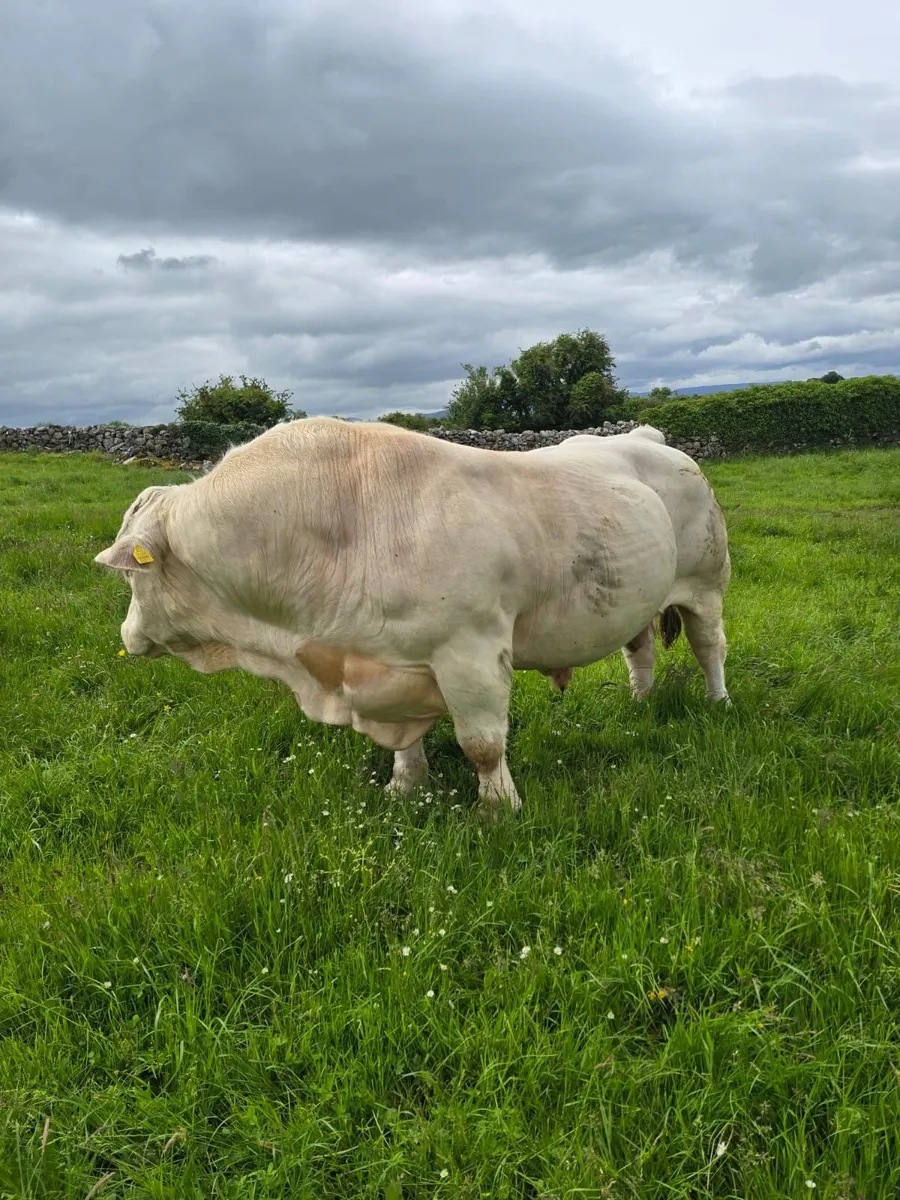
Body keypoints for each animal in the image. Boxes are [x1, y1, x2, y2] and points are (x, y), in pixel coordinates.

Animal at [94, 418, 730, 817]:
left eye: (130, 575)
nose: (127, 636)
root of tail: (649, 436)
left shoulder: (471, 652)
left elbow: (483, 745)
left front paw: (498, 810)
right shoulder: (390, 664)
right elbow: (406, 743)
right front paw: (405, 787)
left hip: (706, 583)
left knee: (709, 647)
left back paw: (718, 702)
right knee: (639, 649)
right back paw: (641, 701)